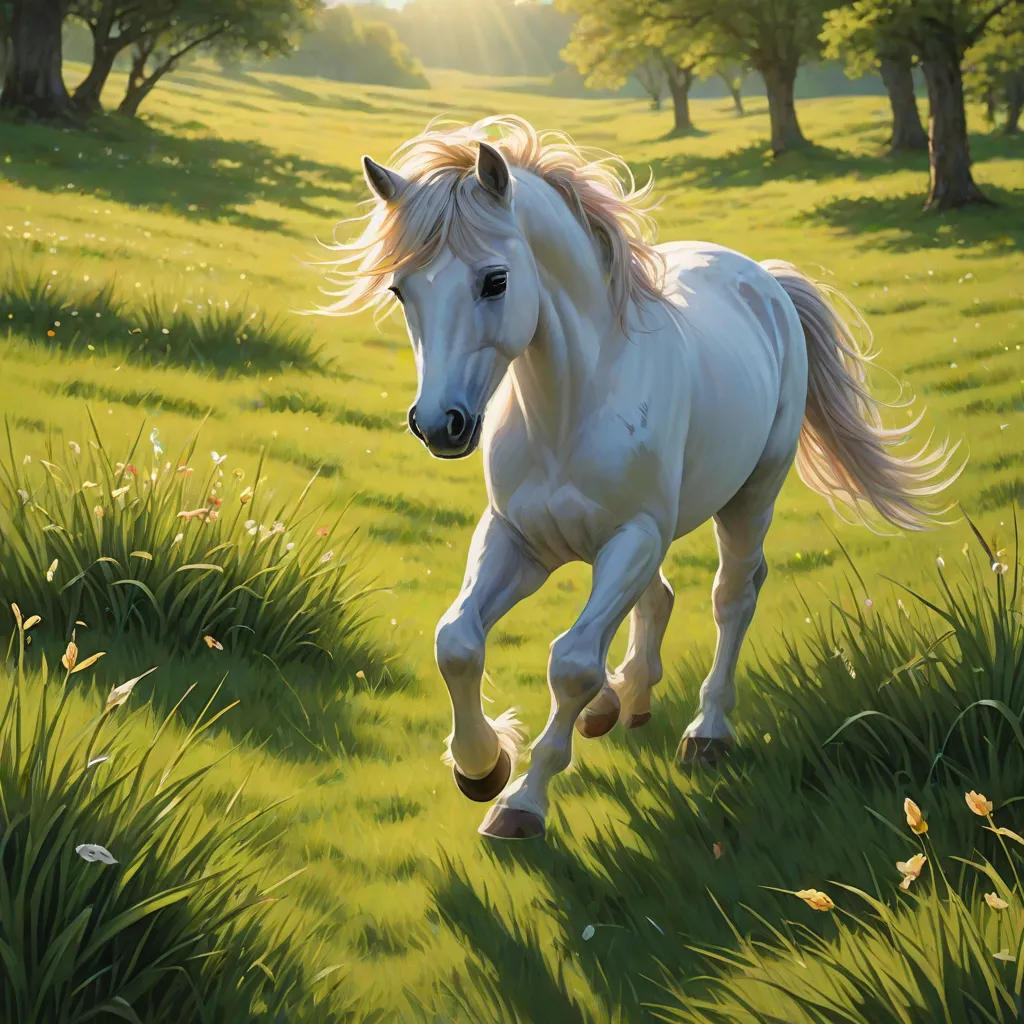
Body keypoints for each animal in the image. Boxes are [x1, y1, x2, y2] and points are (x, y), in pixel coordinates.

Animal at [324, 116, 958, 841]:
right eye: (401, 290)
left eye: (494, 281)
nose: (439, 425)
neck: (571, 406)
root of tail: (763, 280)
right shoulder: (517, 537)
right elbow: (457, 642)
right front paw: (481, 766)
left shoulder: (630, 536)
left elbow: (570, 663)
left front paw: (521, 802)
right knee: (656, 598)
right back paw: (623, 700)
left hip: (749, 497)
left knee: (731, 596)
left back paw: (705, 733)